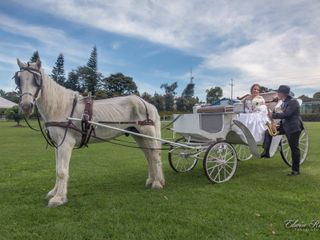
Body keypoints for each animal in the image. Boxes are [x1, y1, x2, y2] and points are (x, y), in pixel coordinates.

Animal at [15, 57, 165, 206]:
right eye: (19, 80)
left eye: (37, 80)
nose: (26, 106)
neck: (60, 107)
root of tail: (148, 104)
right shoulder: (57, 145)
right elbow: (57, 168)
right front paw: (54, 192)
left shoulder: (66, 143)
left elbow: (62, 171)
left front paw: (59, 198)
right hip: (138, 135)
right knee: (148, 155)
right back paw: (151, 180)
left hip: (148, 133)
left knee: (155, 155)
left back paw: (157, 183)